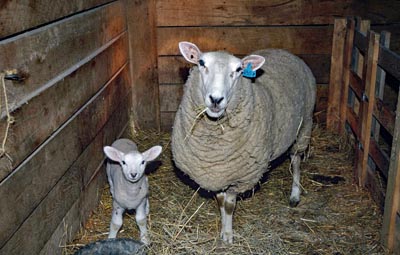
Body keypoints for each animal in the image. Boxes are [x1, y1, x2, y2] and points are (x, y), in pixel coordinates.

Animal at [170, 41, 318, 243]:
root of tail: (283, 51)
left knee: (295, 162)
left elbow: (229, 206)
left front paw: (228, 235)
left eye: (239, 69)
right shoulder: (218, 171)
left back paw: (295, 195)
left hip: (303, 128)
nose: (216, 99)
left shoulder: (239, 176)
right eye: (201, 63)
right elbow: (221, 202)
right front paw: (223, 229)